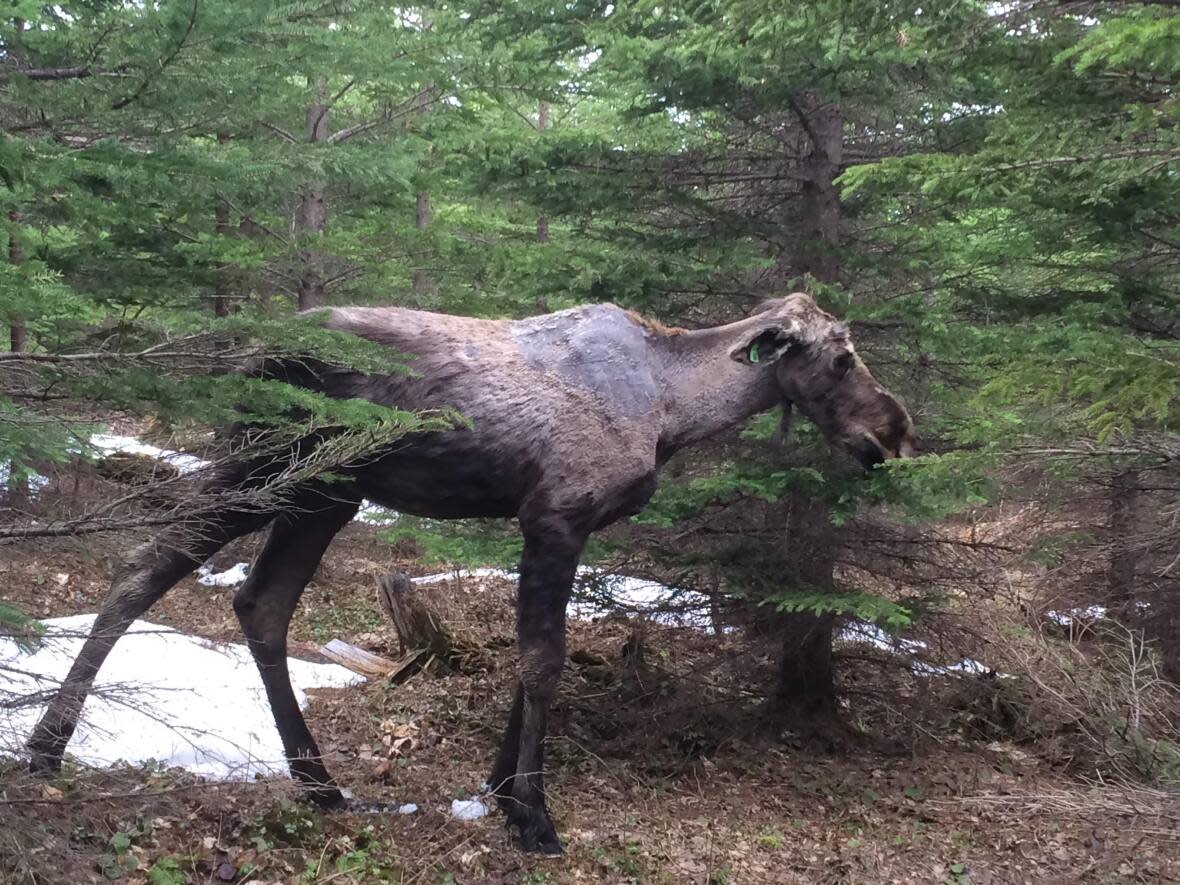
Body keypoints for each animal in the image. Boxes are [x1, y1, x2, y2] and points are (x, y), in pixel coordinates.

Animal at [25, 295, 910, 854]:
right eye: (840, 357)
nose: (896, 431)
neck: (670, 408)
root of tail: (248, 355)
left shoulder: (553, 522)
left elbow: (533, 660)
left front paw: (499, 787)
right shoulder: (555, 514)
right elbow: (545, 662)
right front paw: (534, 815)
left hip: (327, 493)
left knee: (259, 602)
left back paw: (319, 781)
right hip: (269, 464)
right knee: (145, 563)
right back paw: (46, 745)